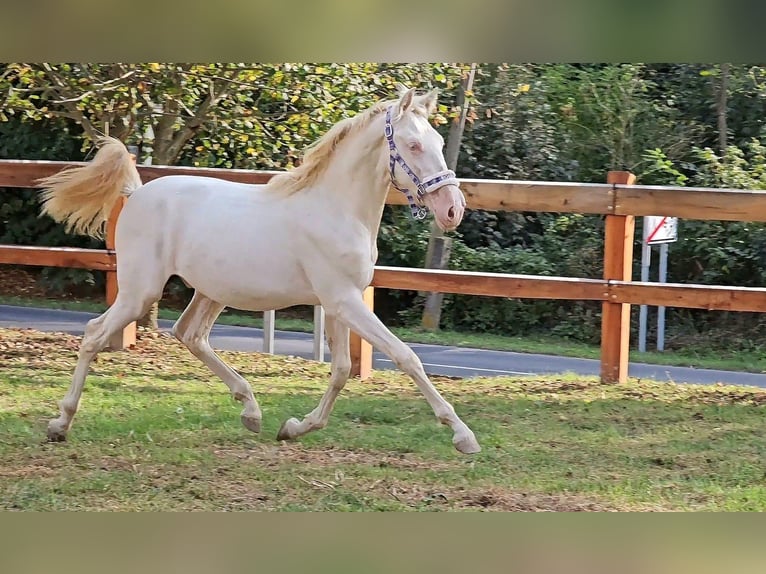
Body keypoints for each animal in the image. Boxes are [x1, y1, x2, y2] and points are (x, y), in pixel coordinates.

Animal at [37, 86, 480, 454]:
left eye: (439, 143)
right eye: (413, 145)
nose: (452, 210)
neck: (335, 208)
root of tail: (136, 191)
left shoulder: (338, 303)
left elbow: (340, 370)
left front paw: (295, 427)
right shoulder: (344, 300)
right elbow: (406, 356)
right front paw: (462, 435)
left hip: (211, 291)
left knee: (190, 334)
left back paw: (251, 411)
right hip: (140, 290)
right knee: (95, 333)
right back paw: (60, 424)